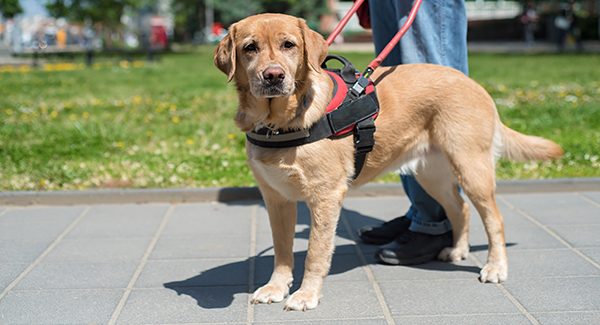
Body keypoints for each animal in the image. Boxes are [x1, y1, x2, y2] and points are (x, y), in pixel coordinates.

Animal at [214, 13, 564, 310]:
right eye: (250, 48)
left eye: (289, 45)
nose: (273, 76)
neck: (278, 123)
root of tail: (473, 83)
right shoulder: (276, 199)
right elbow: (282, 251)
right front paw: (276, 287)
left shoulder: (325, 197)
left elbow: (315, 252)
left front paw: (306, 294)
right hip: (432, 175)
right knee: (459, 208)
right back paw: (457, 249)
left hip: (471, 168)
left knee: (494, 219)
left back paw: (495, 266)